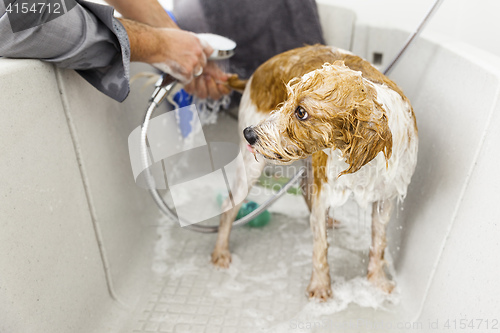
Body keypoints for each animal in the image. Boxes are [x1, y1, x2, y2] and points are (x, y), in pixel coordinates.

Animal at [215, 44, 418, 300]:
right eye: (286, 100)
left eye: (301, 112)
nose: (249, 134)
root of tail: (257, 72)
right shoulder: (325, 190)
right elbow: (321, 246)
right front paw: (321, 287)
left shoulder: (386, 198)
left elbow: (379, 242)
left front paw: (377, 281)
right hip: (251, 167)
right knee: (229, 206)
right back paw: (221, 252)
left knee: (305, 189)